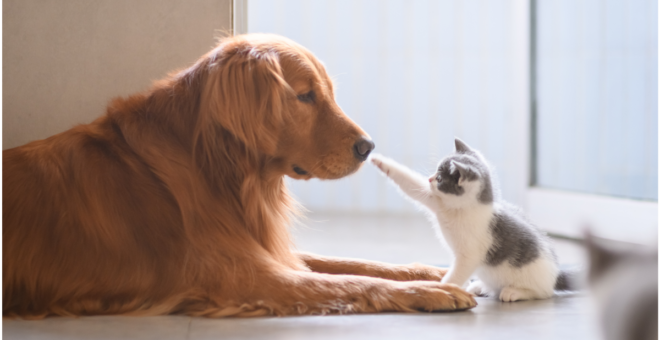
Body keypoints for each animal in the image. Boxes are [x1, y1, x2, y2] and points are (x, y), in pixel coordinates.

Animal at [2, 33, 476, 318]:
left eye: (326, 93)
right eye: (305, 96)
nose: (367, 147)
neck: (216, 169)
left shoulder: (264, 249)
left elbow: (356, 263)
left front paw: (431, 272)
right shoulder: (245, 276)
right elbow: (351, 279)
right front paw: (434, 292)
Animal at [372, 137, 572, 302]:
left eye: (439, 178)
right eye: (435, 172)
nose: (429, 179)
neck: (459, 210)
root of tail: (555, 273)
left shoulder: (469, 256)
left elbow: (456, 275)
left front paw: (442, 289)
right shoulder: (436, 201)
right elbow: (411, 184)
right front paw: (379, 161)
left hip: (534, 276)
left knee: (542, 293)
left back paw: (514, 292)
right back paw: (479, 286)